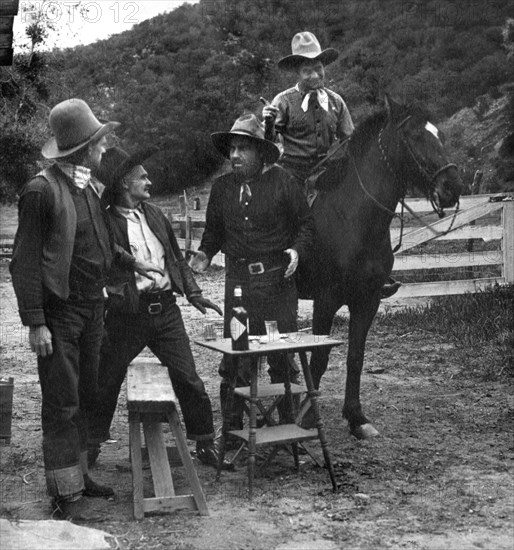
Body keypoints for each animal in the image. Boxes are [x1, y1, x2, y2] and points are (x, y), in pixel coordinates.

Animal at [304, 95, 460, 440]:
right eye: (415, 136)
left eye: (440, 135)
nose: (452, 188)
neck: (352, 218)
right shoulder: (325, 300)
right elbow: (319, 357)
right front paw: (307, 416)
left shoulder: (368, 299)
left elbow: (355, 357)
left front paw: (356, 418)